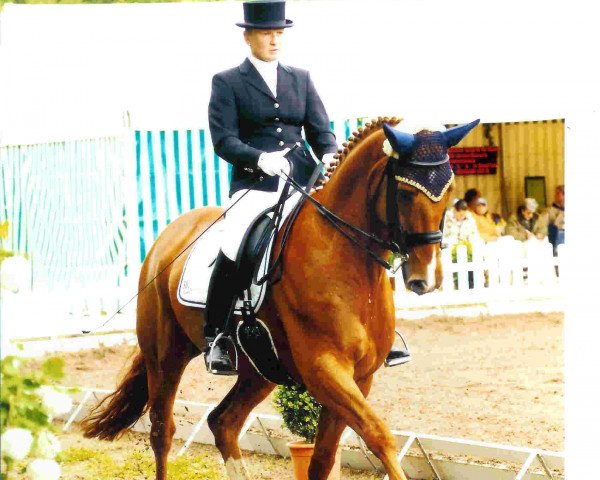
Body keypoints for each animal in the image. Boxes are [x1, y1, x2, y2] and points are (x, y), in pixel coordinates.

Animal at [81, 117, 474, 480]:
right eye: (405, 193)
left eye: (449, 190)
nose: (426, 279)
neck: (343, 256)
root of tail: (169, 235)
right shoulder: (324, 369)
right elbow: (379, 436)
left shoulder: (359, 376)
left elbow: (322, 459)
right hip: (165, 357)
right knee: (162, 431)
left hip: (259, 370)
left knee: (223, 422)